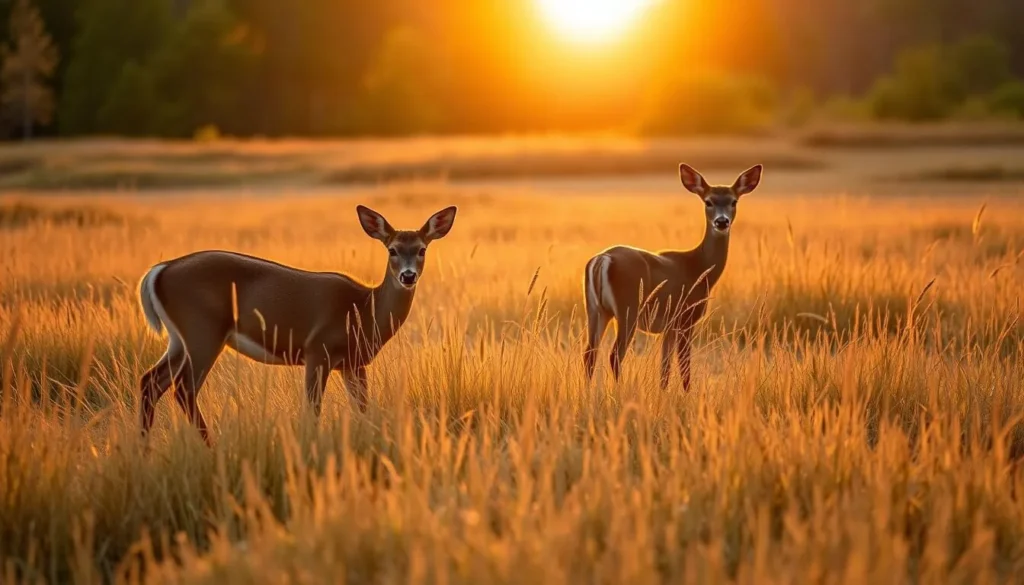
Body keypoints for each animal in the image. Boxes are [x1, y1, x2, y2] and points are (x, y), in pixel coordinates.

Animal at [136, 204, 457, 445]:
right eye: (392, 250)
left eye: (422, 250)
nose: (407, 276)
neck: (364, 310)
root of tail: (159, 270)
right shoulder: (318, 350)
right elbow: (313, 409)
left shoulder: (353, 363)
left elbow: (363, 408)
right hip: (203, 330)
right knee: (183, 388)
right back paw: (210, 446)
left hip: (180, 339)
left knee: (150, 381)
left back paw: (144, 449)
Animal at [582, 163, 762, 391]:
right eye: (708, 201)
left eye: (733, 201)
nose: (722, 221)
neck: (698, 267)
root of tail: (602, 259)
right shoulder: (686, 318)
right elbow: (685, 369)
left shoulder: (669, 326)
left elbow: (665, 369)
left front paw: (663, 394)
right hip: (627, 309)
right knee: (614, 355)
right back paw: (619, 391)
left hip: (596, 309)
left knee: (589, 354)